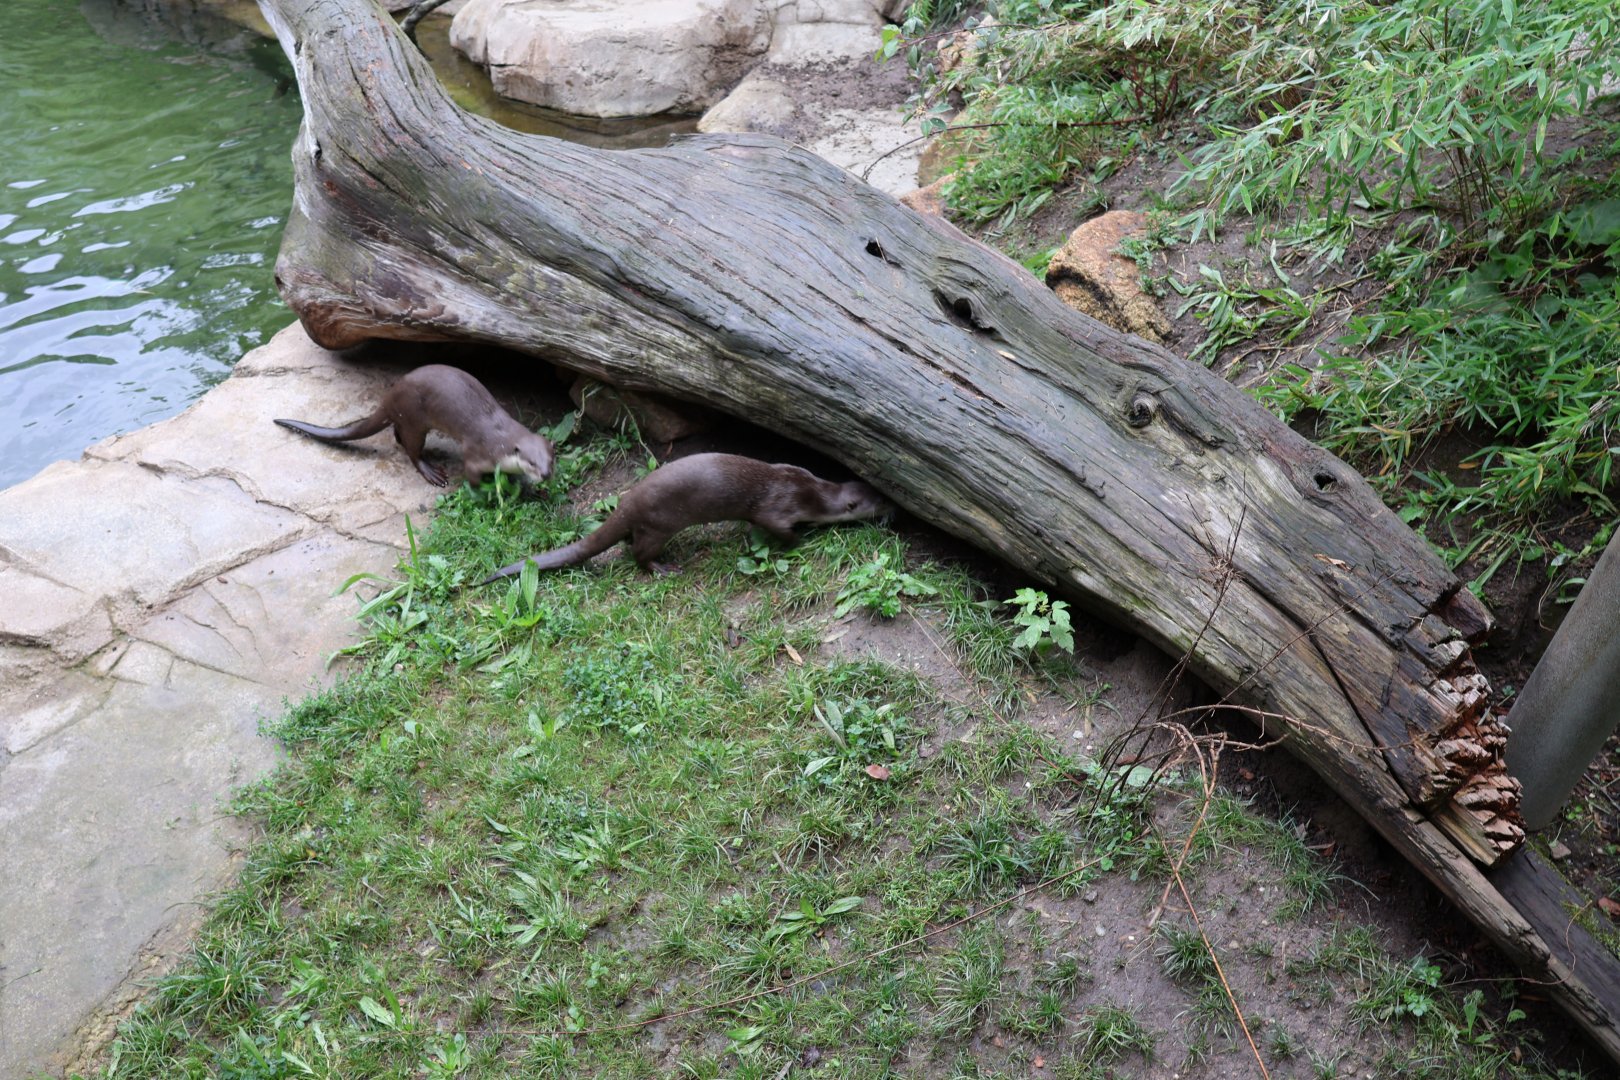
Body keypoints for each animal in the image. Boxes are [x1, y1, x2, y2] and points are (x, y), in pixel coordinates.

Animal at [274, 364, 553, 488]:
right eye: (531, 462)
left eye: (551, 460)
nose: (546, 474)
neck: (501, 438)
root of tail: (391, 395)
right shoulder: (476, 454)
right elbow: (473, 477)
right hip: (414, 419)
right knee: (411, 450)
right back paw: (431, 472)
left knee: (398, 434)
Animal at [482, 453, 891, 582]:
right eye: (877, 502)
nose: (895, 508)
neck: (811, 492)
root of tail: (629, 501)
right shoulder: (779, 508)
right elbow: (776, 528)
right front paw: (800, 542)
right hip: (659, 525)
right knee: (638, 554)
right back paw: (664, 569)